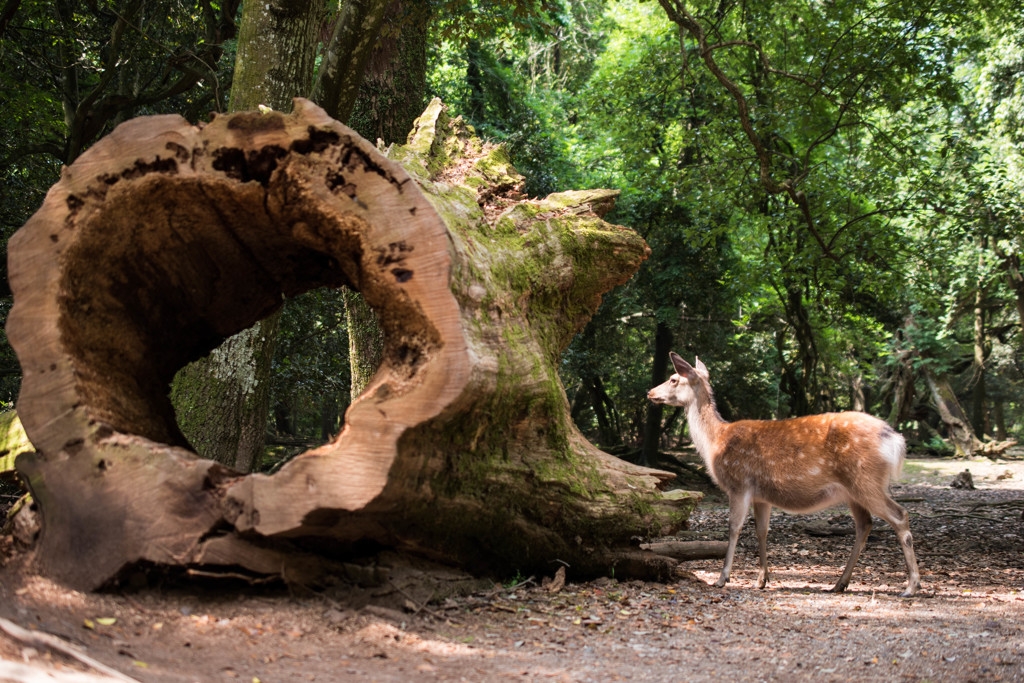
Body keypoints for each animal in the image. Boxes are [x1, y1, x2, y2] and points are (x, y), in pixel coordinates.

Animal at [647, 352, 921, 598]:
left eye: (673, 379)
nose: (650, 393)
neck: (715, 441)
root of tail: (895, 439)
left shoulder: (739, 483)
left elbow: (734, 527)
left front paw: (723, 578)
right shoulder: (761, 495)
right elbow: (761, 530)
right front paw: (762, 579)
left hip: (866, 479)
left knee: (900, 515)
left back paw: (910, 586)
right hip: (855, 490)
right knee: (865, 525)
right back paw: (839, 584)